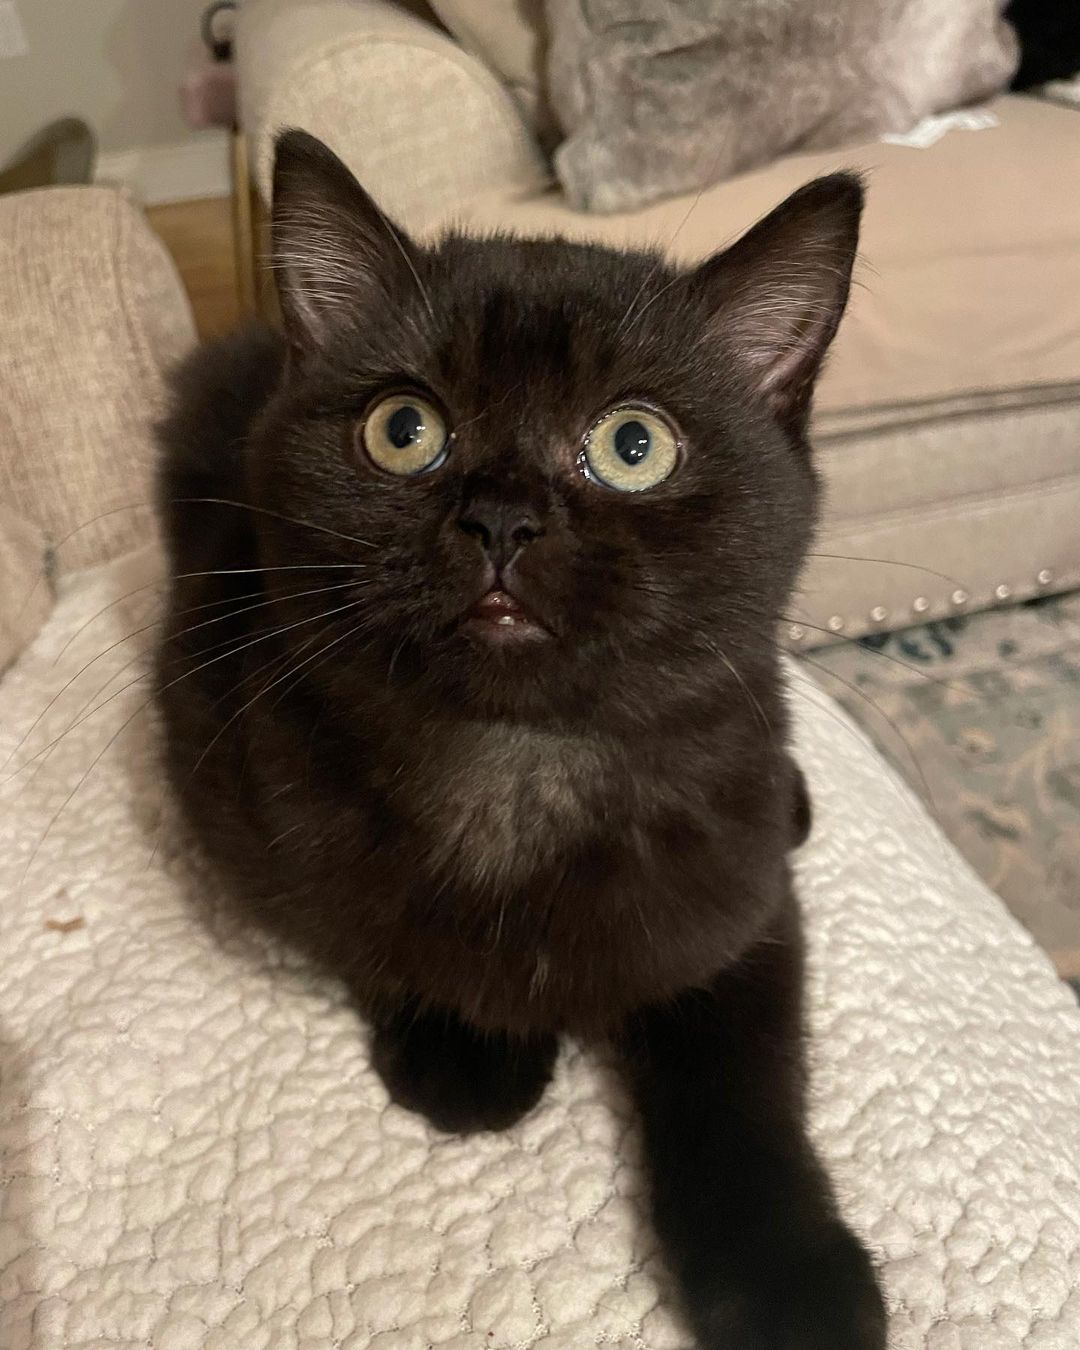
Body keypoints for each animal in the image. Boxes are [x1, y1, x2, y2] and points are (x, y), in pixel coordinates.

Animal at [157, 128, 885, 1350]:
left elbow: (743, 1072)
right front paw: (469, 1048)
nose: (501, 515)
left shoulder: (735, 897)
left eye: (634, 445)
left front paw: (794, 1286)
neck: (521, 767)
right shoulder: (247, 789)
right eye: (404, 430)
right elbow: (370, 928)